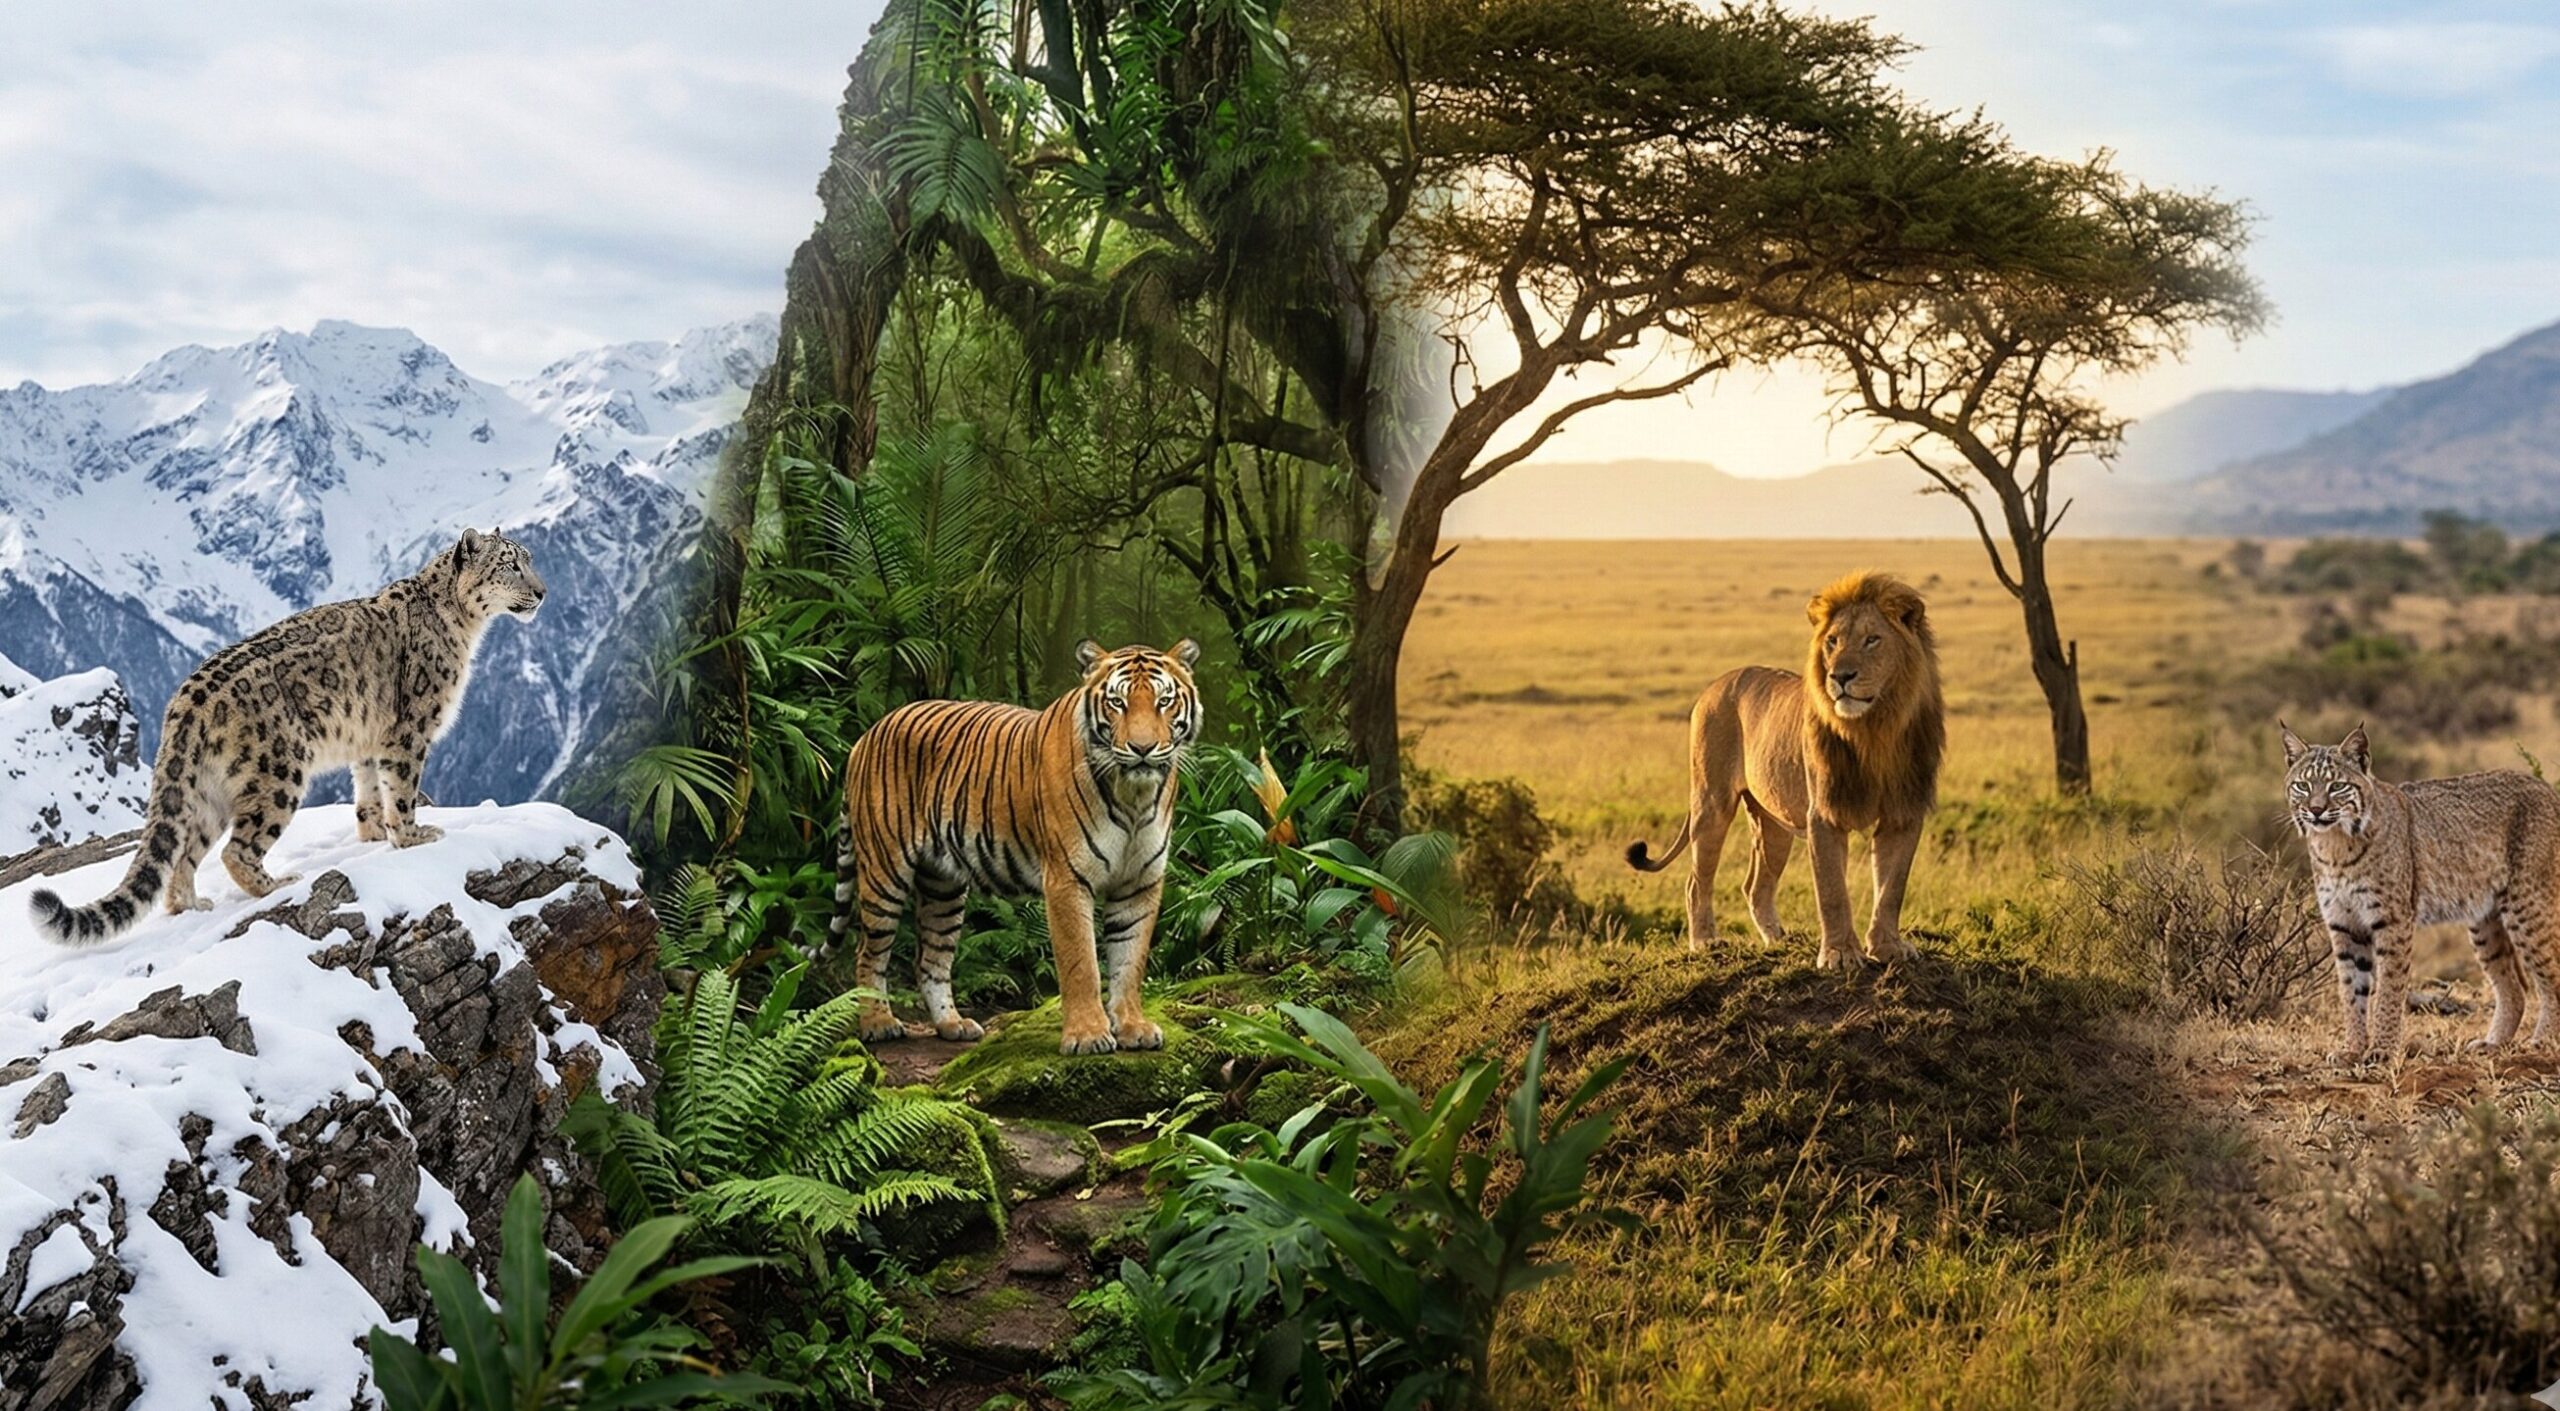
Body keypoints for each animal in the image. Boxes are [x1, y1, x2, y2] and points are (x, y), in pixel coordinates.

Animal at [830, 638, 1202, 1055]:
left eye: (1163, 701)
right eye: (1117, 703)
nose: (1142, 748)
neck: (1133, 796)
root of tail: (868, 733)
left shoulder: (1140, 882)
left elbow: (1130, 960)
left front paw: (1133, 1027)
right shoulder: (1067, 879)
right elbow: (1082, 963)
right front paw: (1088, 1035)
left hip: (943, 886)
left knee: (930, 960)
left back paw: (953, 1024)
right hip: (885, 874)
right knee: (868, 954)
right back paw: (878, 1024)